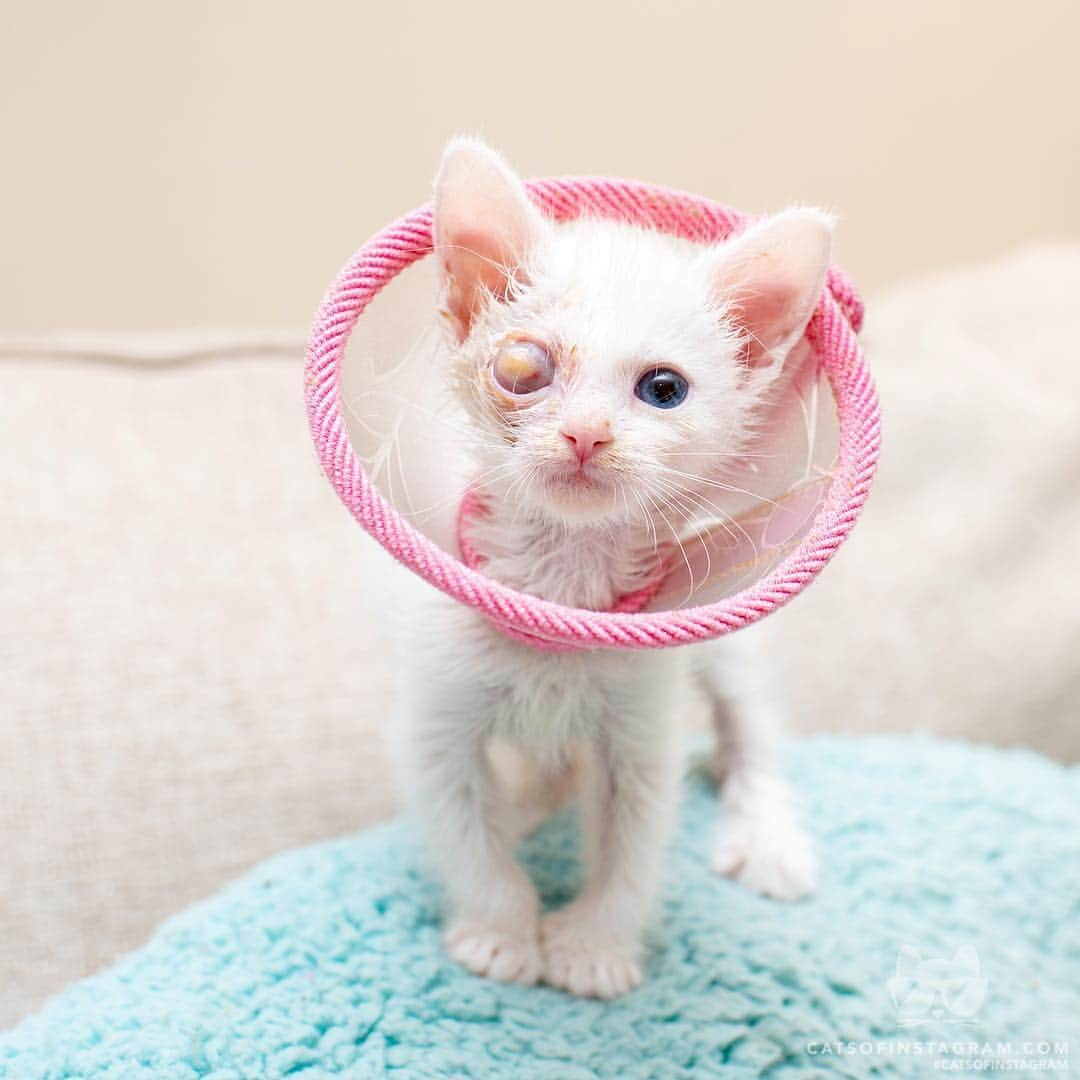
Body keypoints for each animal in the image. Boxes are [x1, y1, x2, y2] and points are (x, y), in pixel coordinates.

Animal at [397, 139, 825, 997]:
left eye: (663, 389)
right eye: (522, 368)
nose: (586, 434)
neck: (560, 578)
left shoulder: (641, 725)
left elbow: (633, 839)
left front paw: (595, 946)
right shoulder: (439, 712)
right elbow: (465, 826)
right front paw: (500, 930)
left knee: (750, 724)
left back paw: (768, 838)